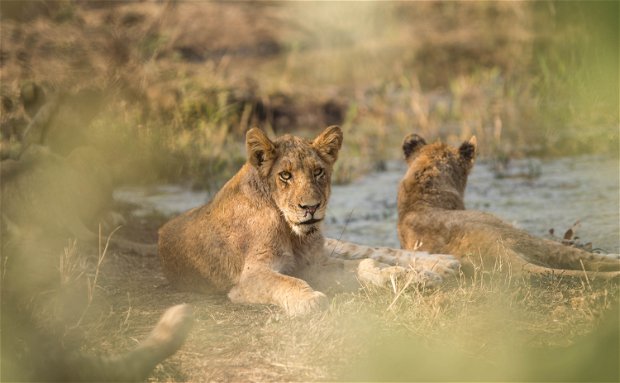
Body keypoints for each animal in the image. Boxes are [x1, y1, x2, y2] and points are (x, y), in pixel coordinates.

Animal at [160, 127, 460, 316]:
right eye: (285, 175)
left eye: (318, 172)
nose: (311, 207)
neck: (289, 231)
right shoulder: (251, 277)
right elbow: (286, 282)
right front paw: (310, 301)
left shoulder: (314, 264)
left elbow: (367, 263)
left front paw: (405, 277)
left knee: (377, 251)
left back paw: (440, 267)